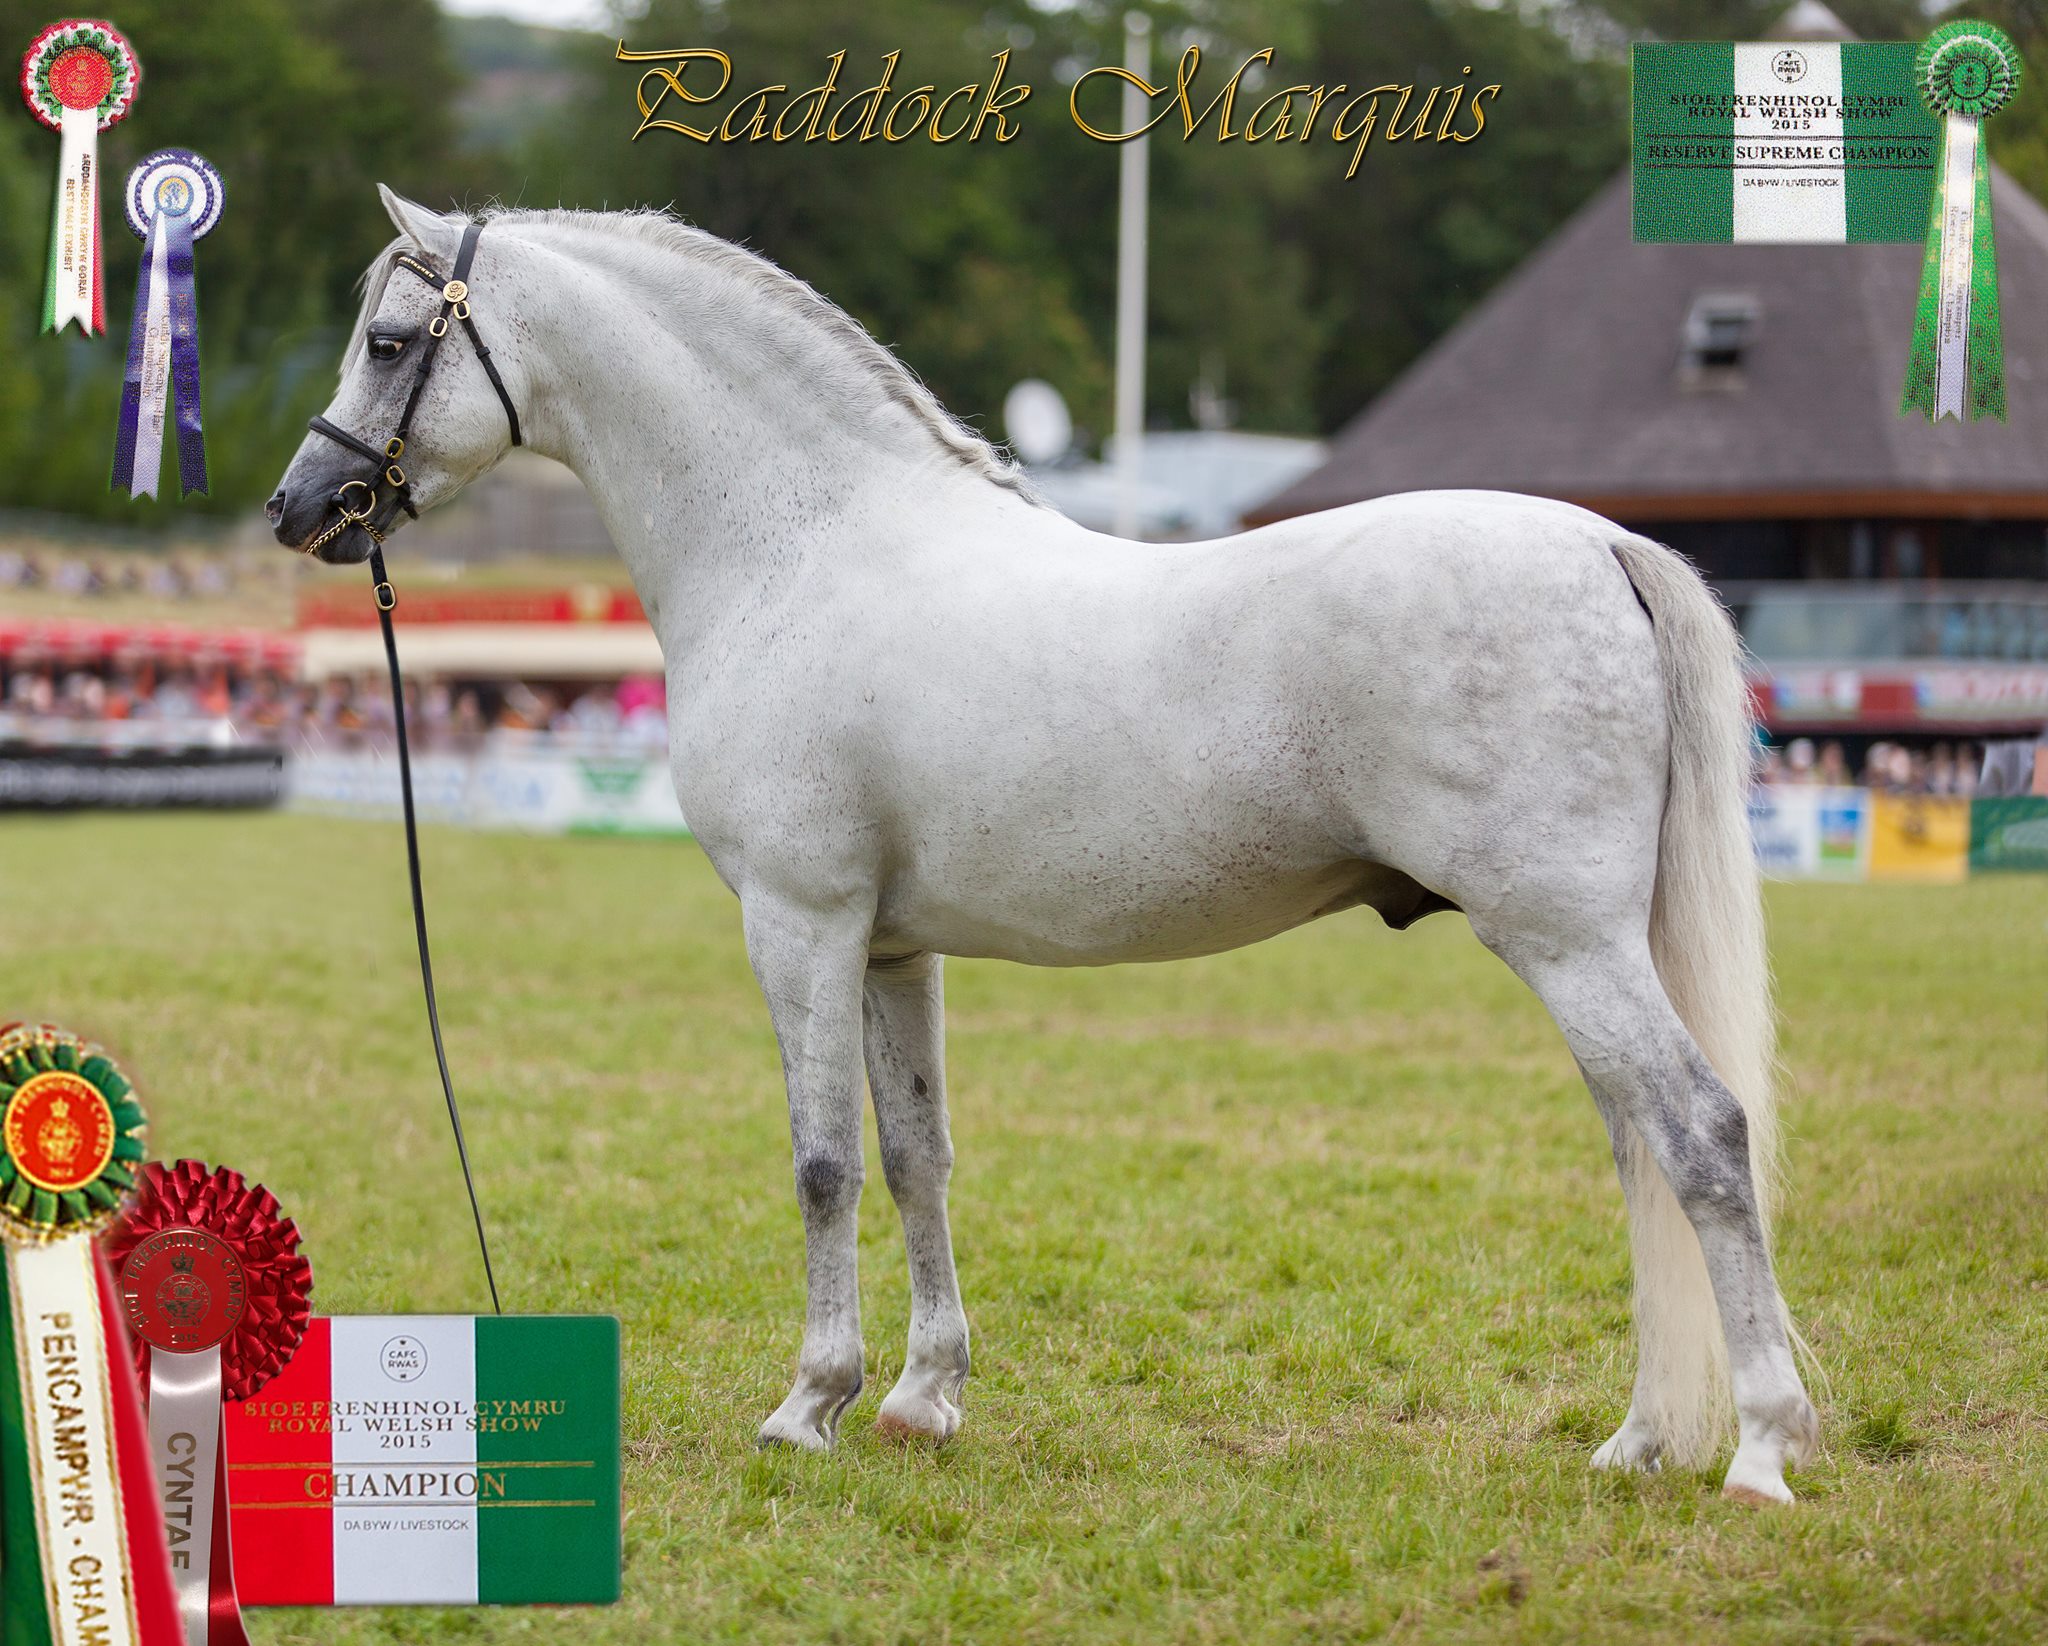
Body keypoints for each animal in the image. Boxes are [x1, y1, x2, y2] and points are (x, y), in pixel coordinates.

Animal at [268, 188, 1820, 1504]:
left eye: (389, 341)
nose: (298, 510)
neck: (801, 547)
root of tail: (1603, 546)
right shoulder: (891, 946)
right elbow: (916, 1156)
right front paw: (918, 1398)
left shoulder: (799, 920)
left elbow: (821, 1161)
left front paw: (806, 1404)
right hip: (1586, 947)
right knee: (1641, 1153)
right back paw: (1639, 1439)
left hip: (1564, 938)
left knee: (1700, 1137)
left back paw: (1757, 1450)